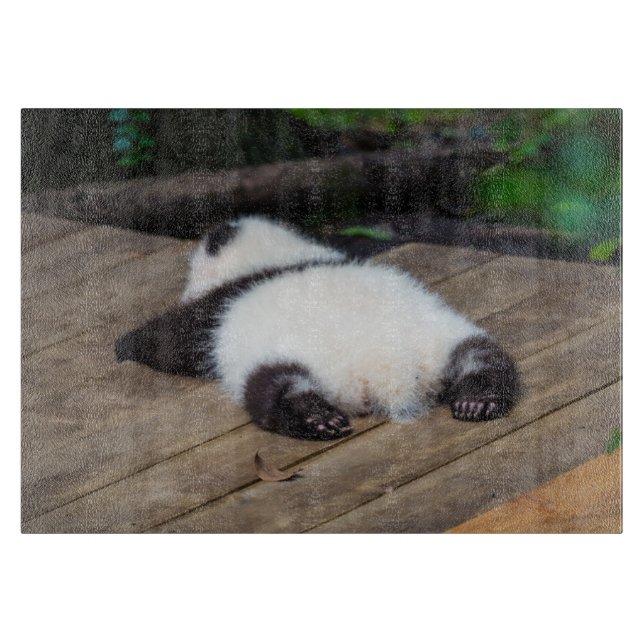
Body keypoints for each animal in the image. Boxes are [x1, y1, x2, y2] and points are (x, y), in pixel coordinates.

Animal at [116, 216, 519, 440]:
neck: (278, 257)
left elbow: (173, 339)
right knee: (482, 356)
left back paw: (317, 418)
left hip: (280, 358)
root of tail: (388, 372)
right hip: (440, 336)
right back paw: (478, 399)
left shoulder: (219, 307)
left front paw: (125, 345)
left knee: (274, 387)